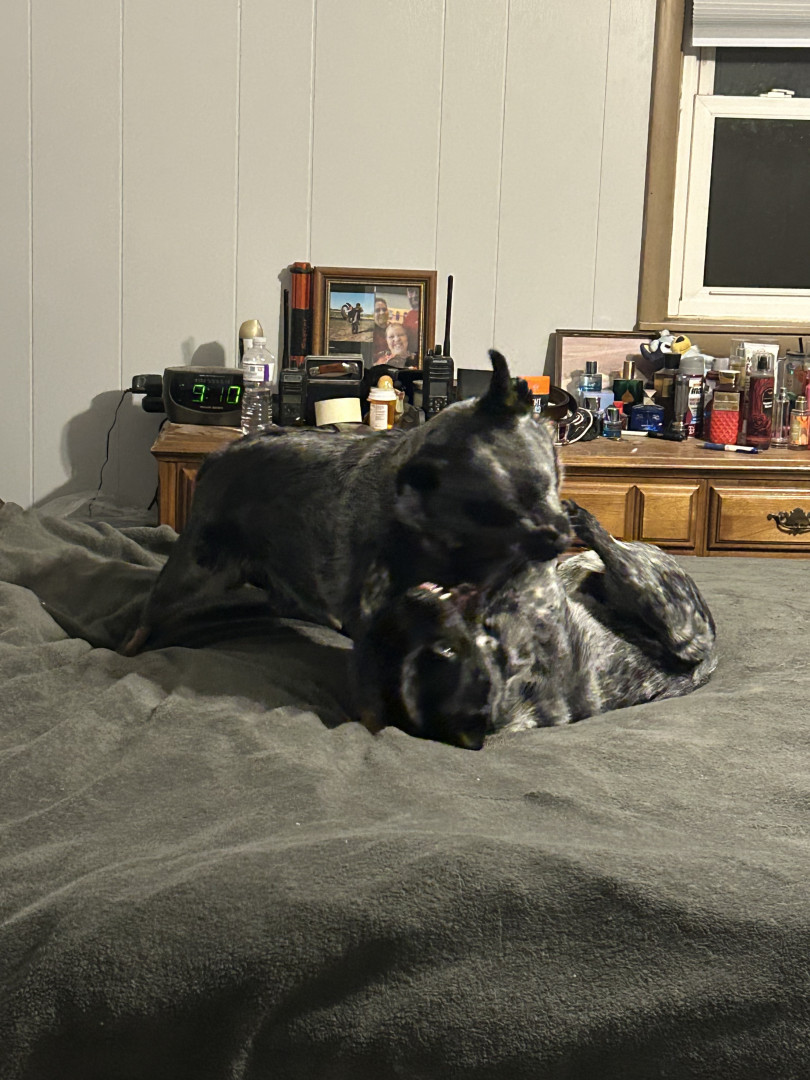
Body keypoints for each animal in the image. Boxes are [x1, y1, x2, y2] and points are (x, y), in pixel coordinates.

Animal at [122, 351, 572, 655]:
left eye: (539, 485)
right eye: (487, 510)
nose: (560, 536)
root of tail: (216, 457)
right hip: (193, 568)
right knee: (150, 612)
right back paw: (129, 646)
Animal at [353, 502, 717, 749]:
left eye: (387, 637)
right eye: (445, 650)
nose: (404, 604)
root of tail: (704, 666)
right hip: (680, 623)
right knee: (616, 555)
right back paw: (582, 522)